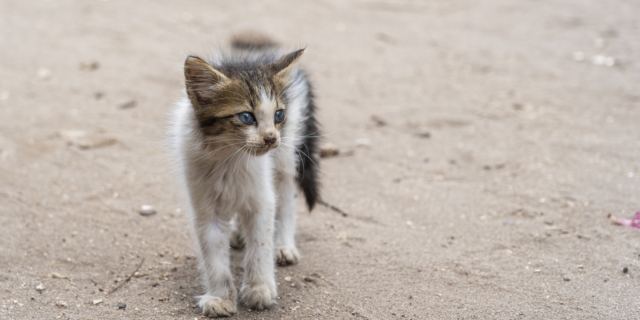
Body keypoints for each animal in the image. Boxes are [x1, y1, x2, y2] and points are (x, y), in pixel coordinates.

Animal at [170, 35, 320, 318]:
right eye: (246, 117)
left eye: (278, 115)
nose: (271, 138)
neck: (230, 158)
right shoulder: (205, 208)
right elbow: (214, 257)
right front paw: (220, 298)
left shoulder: (262, 198)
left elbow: (260, 245)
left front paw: (259, 288)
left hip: (285, 159)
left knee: (286, 199)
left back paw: (283, 245)